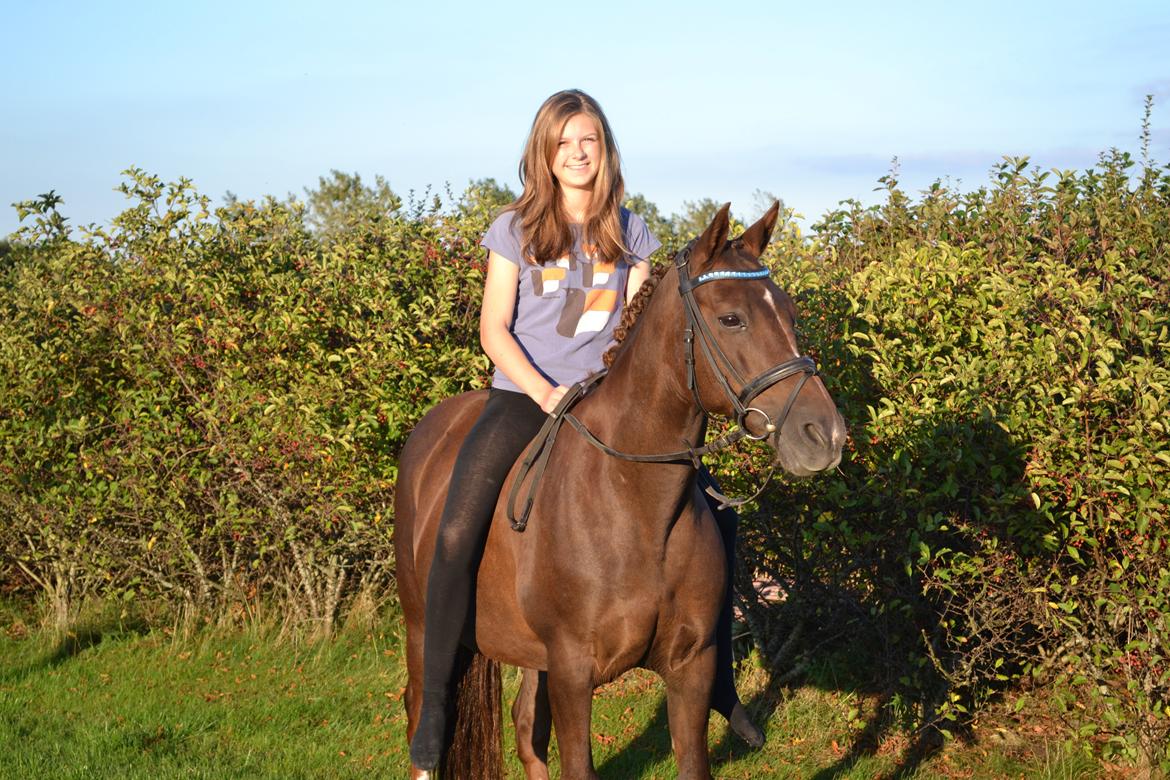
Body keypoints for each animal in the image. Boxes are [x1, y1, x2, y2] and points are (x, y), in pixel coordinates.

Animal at [394, 202, 846, 779]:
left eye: (789, 314)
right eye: (731, 319)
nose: (825, 435)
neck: (634, 507)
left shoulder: (691, 667)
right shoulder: (572, 672)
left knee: (526, 728)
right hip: (422, 625)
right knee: (422, 708)